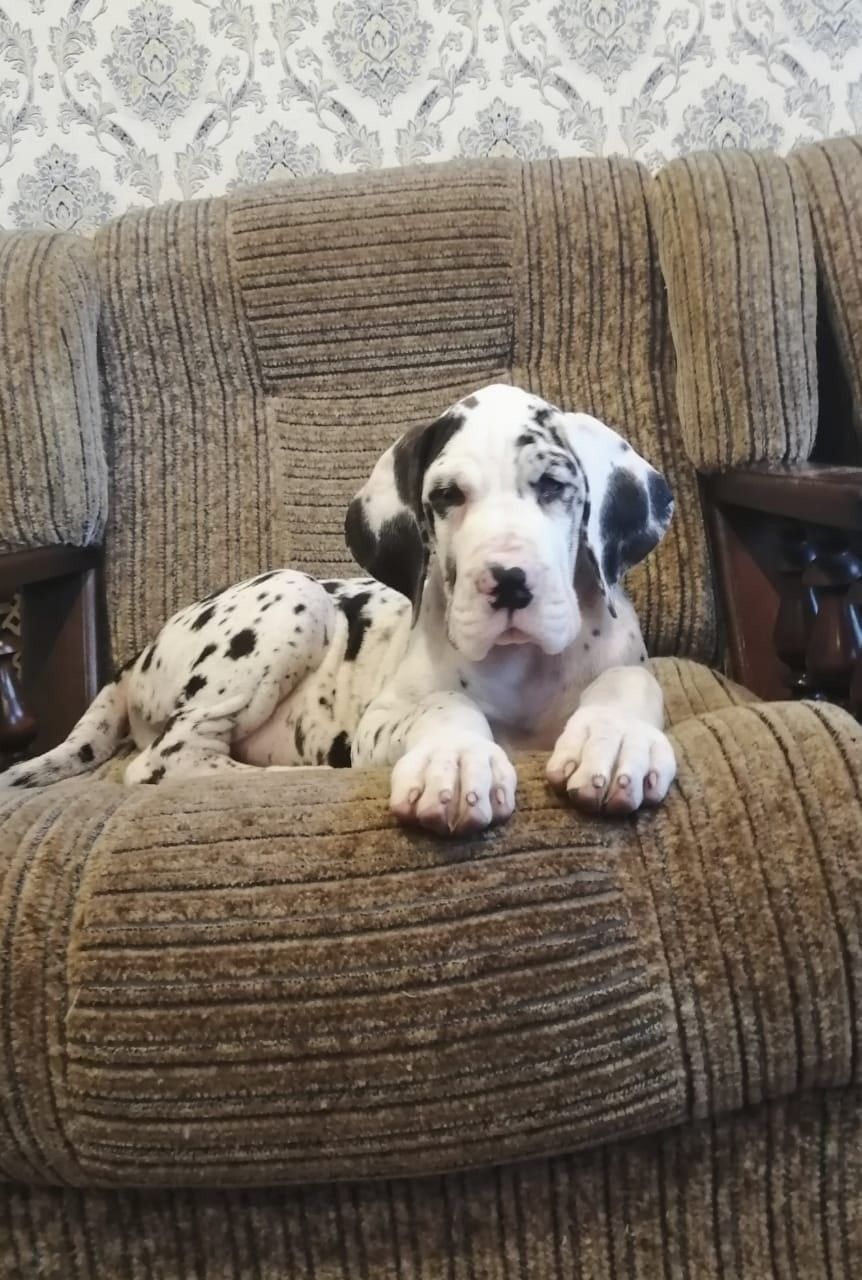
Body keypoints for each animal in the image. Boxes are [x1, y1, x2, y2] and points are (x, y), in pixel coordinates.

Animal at [0, 385, 676, 834]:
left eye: (554, 487)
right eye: (446, 496)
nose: (508, 583)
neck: (523, 670)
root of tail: (133, 659)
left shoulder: (628, 665)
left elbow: (632, 682)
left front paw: (617, 739)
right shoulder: (381, 723)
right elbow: (443, 704)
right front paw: (456, 761)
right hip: (293, 596)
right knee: (167, 760)